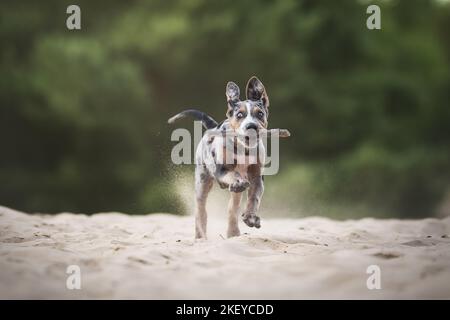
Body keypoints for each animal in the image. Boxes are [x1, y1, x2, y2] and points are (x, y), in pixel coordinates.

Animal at [167, 76, 268, 239]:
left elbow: (254, 197)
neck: (243, 149)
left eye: (260, 114)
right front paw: (238, 181)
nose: (251, 126)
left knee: (232, 209)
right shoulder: (221, 170)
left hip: (233, 195)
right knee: (200, 211)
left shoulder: (257, 177)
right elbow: (233, 174)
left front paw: (251, 217)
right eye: (239, 115)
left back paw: (233, 233)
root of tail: (212, 127)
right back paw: (200, 236)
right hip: (202, 183)